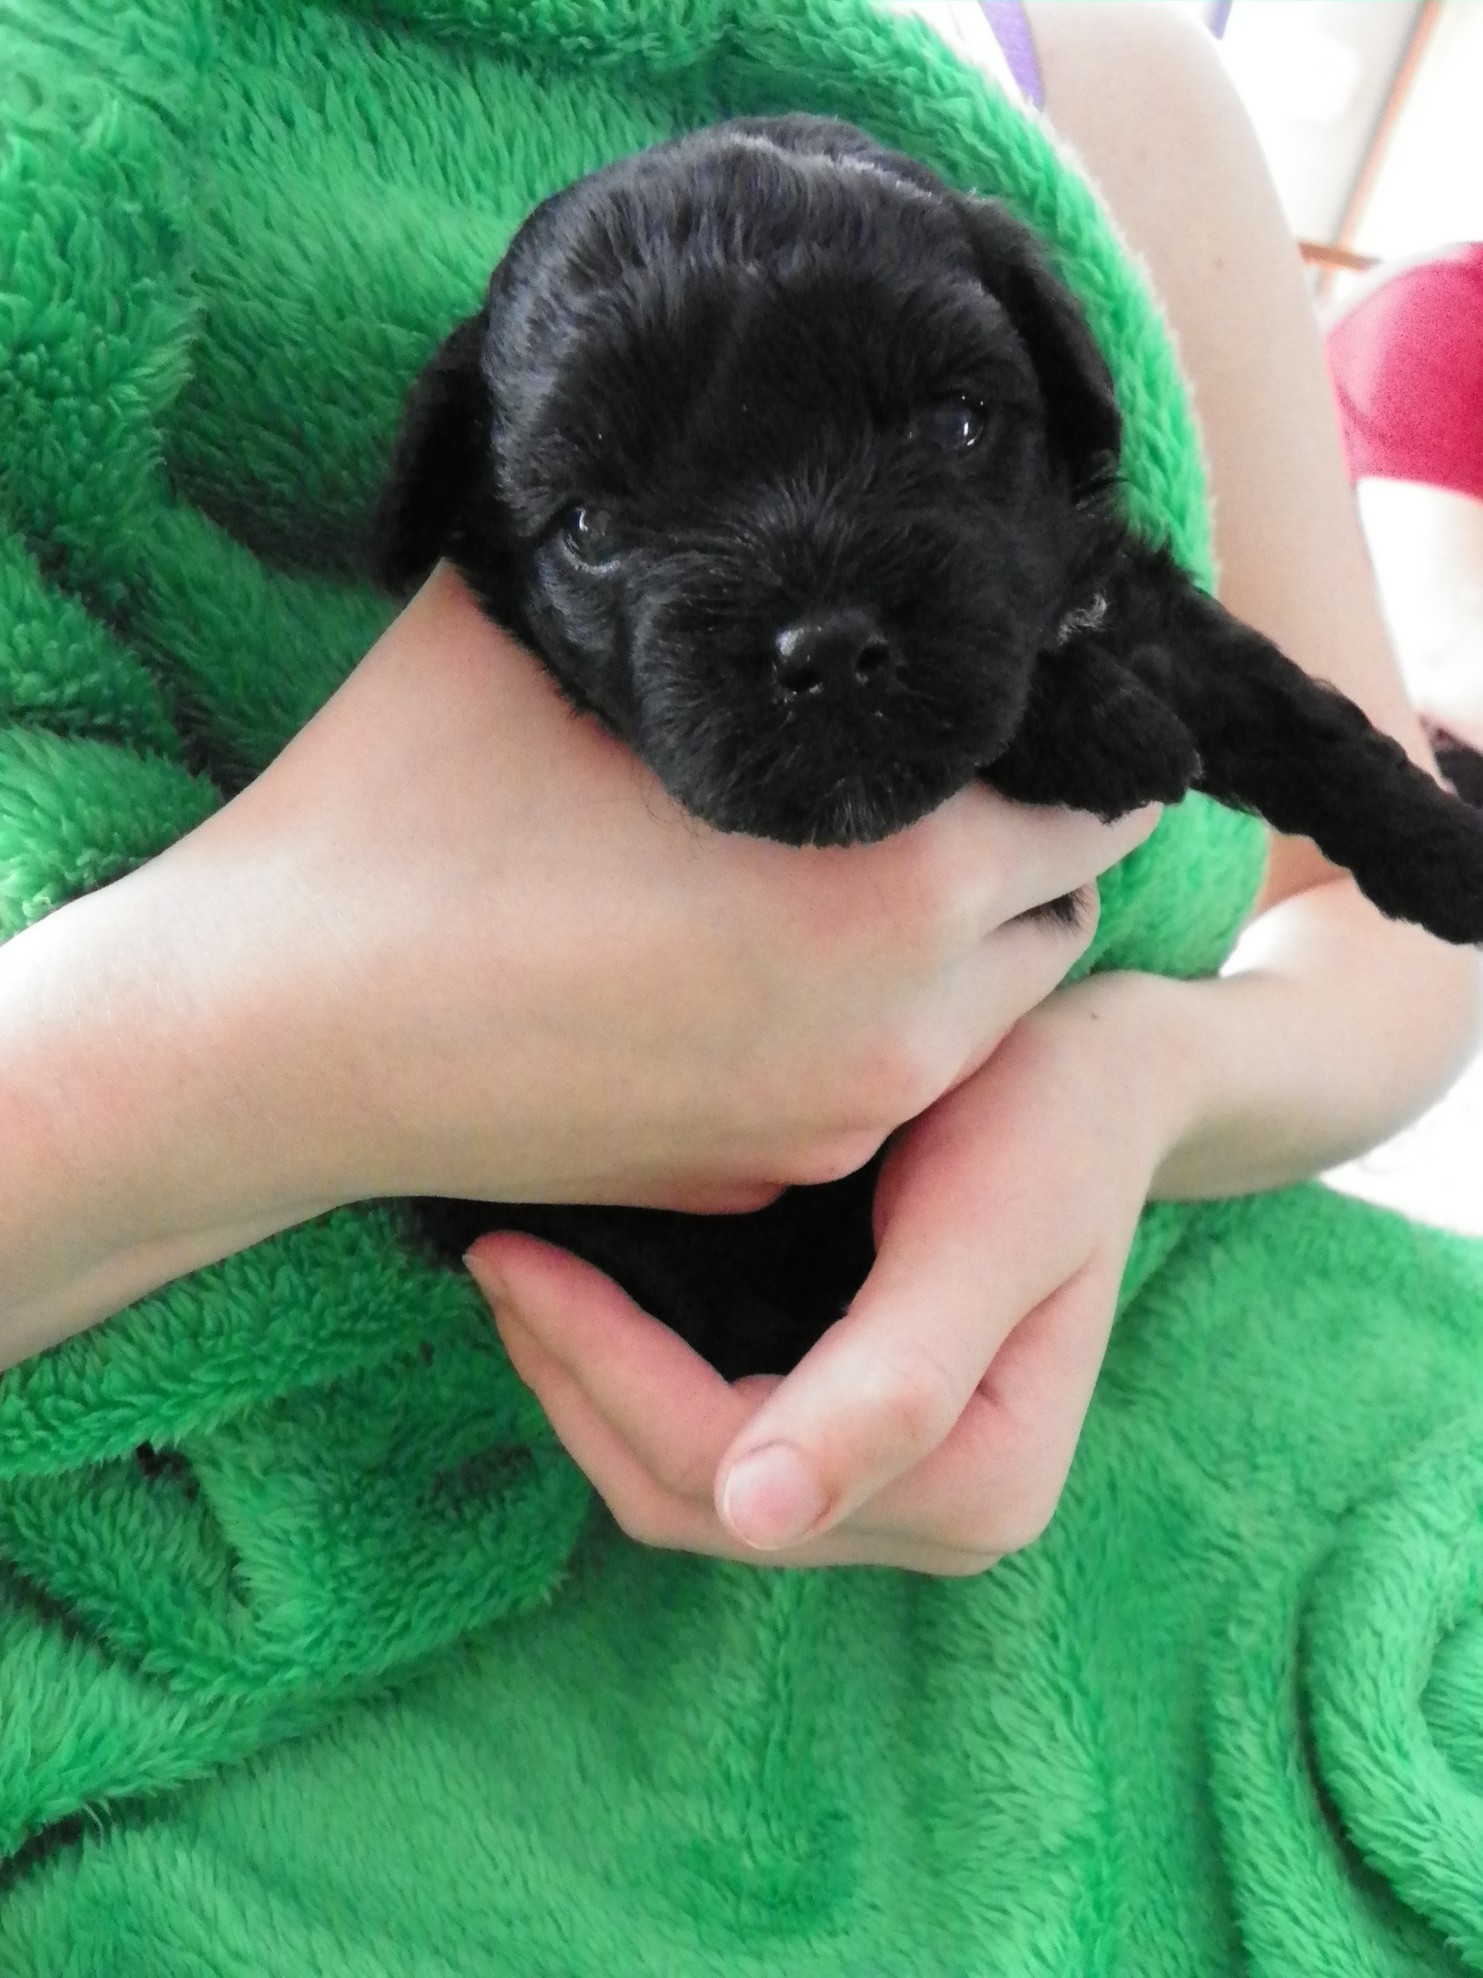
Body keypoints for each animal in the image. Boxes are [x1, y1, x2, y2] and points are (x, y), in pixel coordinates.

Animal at [375, 116, 1483, 1376]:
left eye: (955, 424)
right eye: (591, 527)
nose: (827, 648)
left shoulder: (1110, 590)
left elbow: (1287, 705)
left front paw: (1448, 852)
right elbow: (1020, 712)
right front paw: (1110, 728)